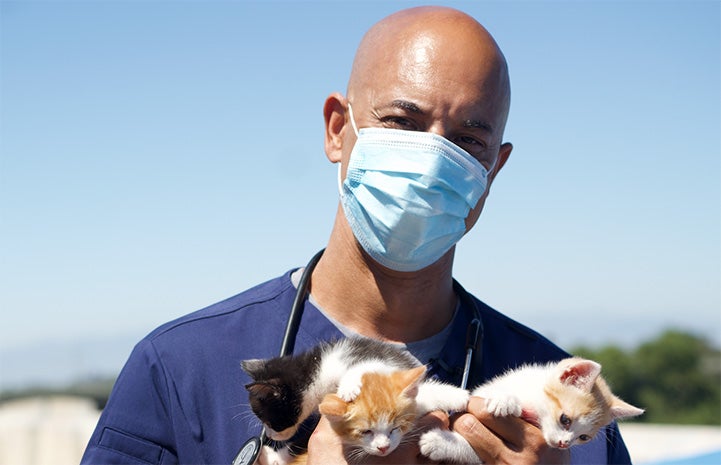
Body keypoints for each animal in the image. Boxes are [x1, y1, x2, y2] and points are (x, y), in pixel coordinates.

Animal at [420, 356, 644, 460]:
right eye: (565, 419)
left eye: (583, 437)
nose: (564, 444)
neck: (533, 404)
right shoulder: (485, 391)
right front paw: (504, 400)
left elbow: (475, 451)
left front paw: (440, 443)